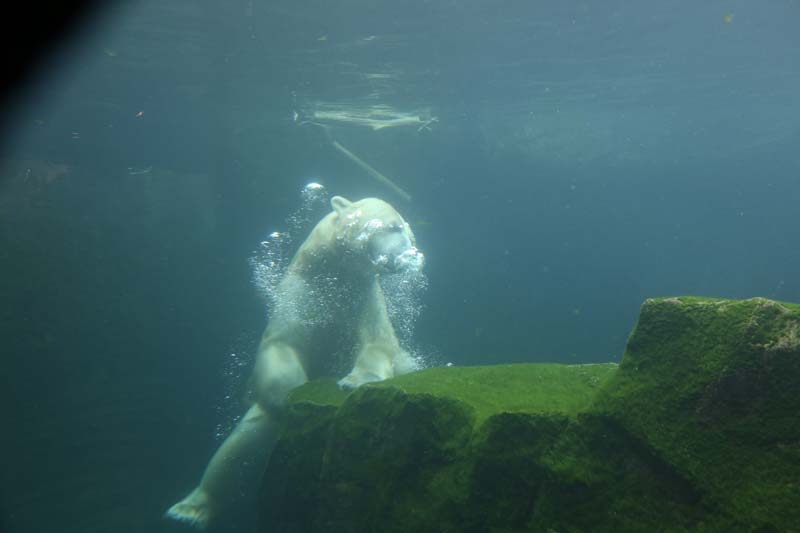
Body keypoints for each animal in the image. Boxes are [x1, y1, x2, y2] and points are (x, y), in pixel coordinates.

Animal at [166, 195, 424, 529]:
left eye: (409, 232)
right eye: (394, 227)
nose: (410, 254)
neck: (333, 273)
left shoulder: (363, 295)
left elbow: (377, 342)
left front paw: (355, 380)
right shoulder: (300, 294)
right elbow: (282, 344)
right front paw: (290, 394)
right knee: (239, 443)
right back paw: (188, 509)